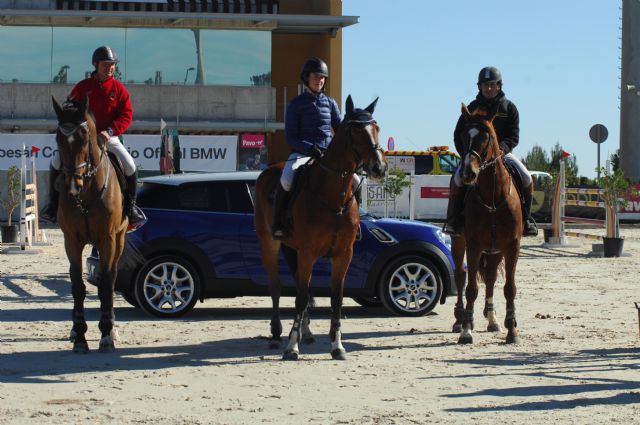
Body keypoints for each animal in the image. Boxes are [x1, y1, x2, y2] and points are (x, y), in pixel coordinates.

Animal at [52, 96, 129, 352]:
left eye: (85, 137)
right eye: (57, 138)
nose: (72, 185)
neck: (86, 192)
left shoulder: (107, 239)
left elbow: (106, 284)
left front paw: (106, 334)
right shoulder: (71, 241)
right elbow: (77, 285)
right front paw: (80, 336)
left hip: (120, 239)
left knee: (112, 278)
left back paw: (112, 328)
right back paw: (75, 331)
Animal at [254, 95, 384, 358]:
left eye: (376, 128)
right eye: (356, 130)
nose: (379, 167)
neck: (333, 197)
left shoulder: (343, 254)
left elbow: (335, 298)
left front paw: (337, 345)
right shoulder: (308, 252)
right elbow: (301, 297)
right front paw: (292, 347)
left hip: (293, 249)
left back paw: (306, 332)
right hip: (269, 244)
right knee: (276, 286)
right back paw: (277, 334)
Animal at [450, 103, 524, 344]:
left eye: (487, 137)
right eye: (464, 135)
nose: (468, 173)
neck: (492, 196)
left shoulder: (512, 246)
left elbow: (509, 288)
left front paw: (512, 330)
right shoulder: (473, 245)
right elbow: (471, 288)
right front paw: (466, 331)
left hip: (495, 250)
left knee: (490, 277)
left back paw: (492, 319)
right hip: (459, 243)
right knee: (460, 276)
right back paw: (460, 319)